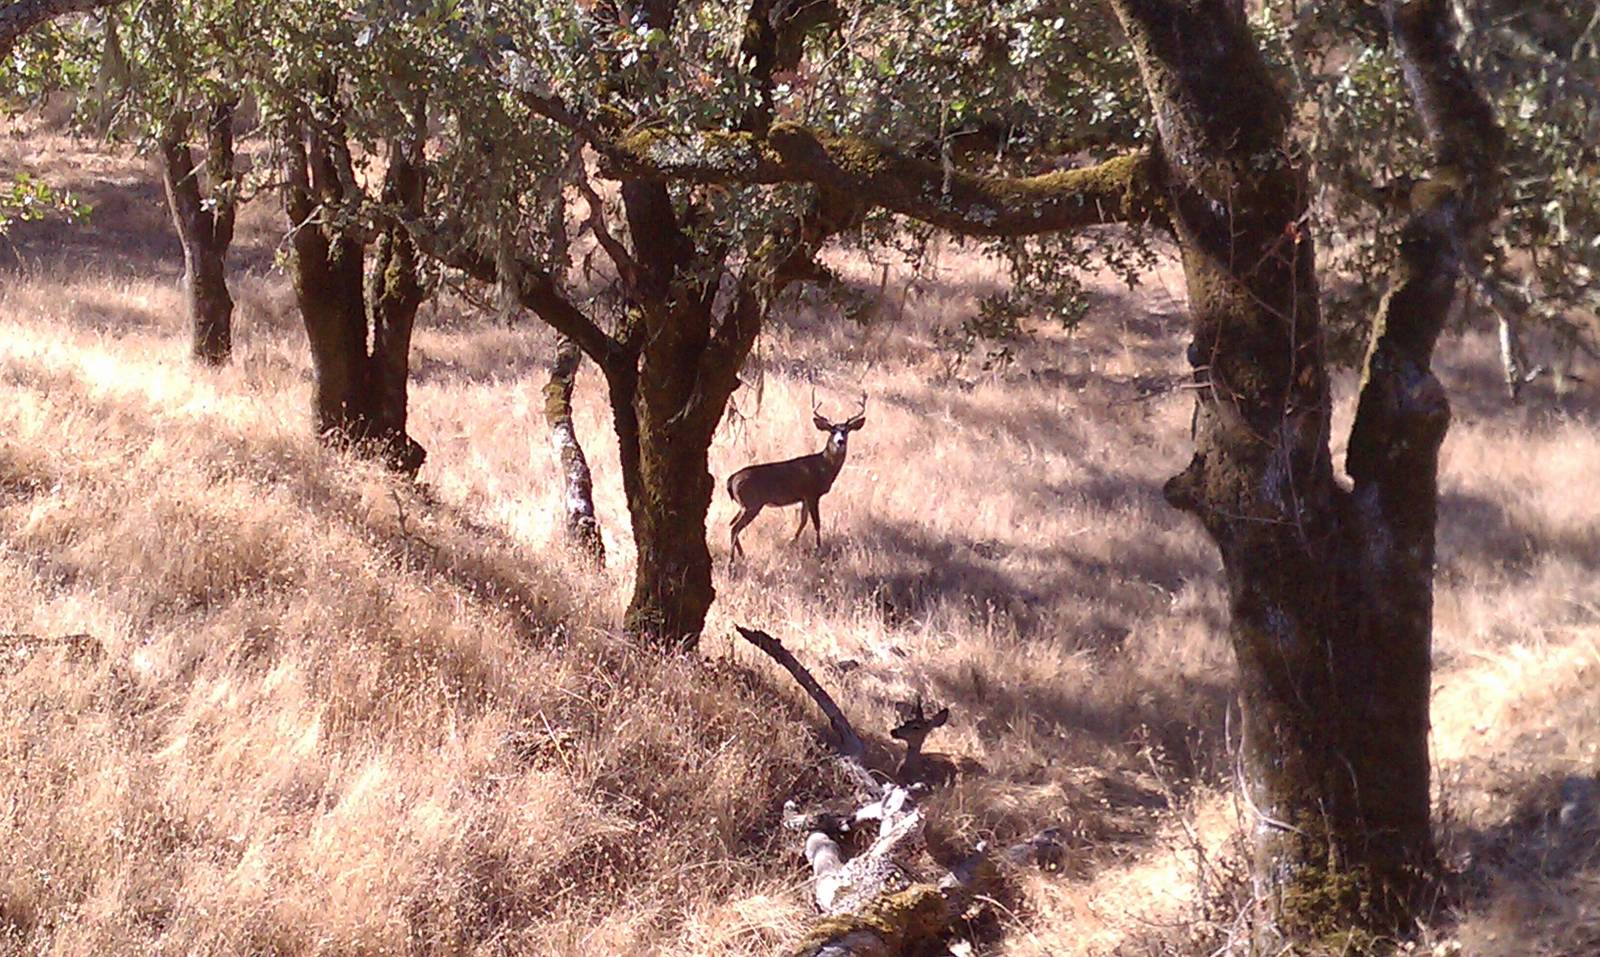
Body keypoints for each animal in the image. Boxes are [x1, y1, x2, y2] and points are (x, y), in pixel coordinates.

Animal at [728, 393, 866, 567]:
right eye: (832, 431)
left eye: (846, 431)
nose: (840, 441)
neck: (823, 467)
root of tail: (731, 479)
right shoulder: (812, 494)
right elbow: (816, 523)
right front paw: (818, 549)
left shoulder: (804, 497)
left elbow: (803, 521)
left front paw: (792, 541)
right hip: (752, 504)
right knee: (734, 528)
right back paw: (732, 562)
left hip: (744, 505)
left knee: (731, 524)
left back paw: (742, 555)